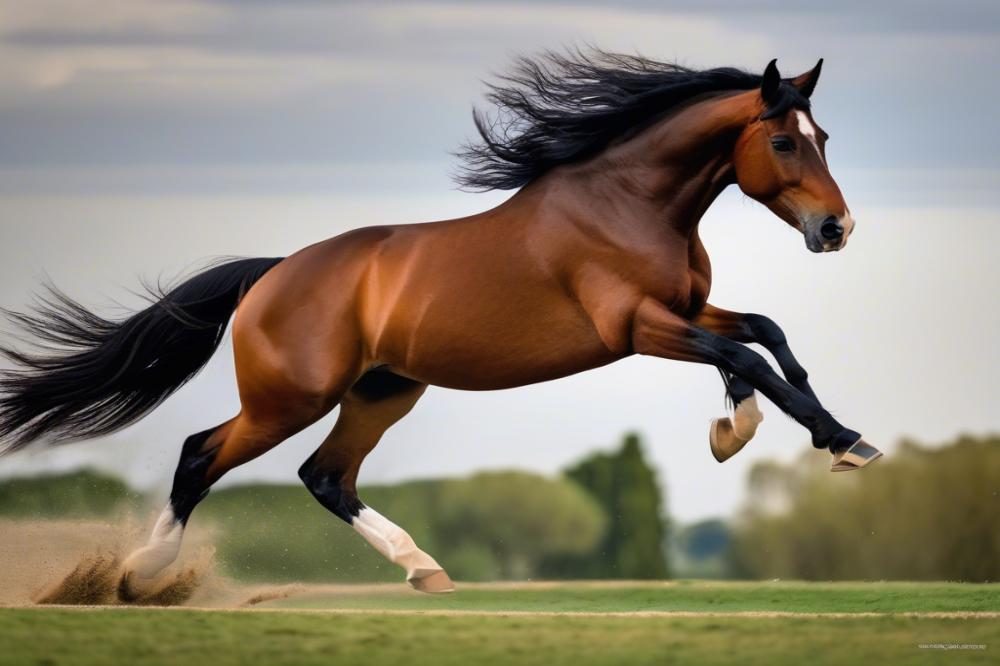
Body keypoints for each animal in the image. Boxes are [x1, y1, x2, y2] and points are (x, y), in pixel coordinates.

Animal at [0, 49, 880, 592]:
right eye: (782, 141)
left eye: (825, 135)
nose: (835, 229)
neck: (629, 203)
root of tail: (271, 275)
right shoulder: (637, 328)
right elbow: (751, 356)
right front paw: (835, 441)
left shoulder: (685, 311)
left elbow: (763, 337)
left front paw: (755, 429)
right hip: (288, 399)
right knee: (199, 455)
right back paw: (139, 574)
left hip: (383, 391)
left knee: (324, 475)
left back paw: (423, 568)